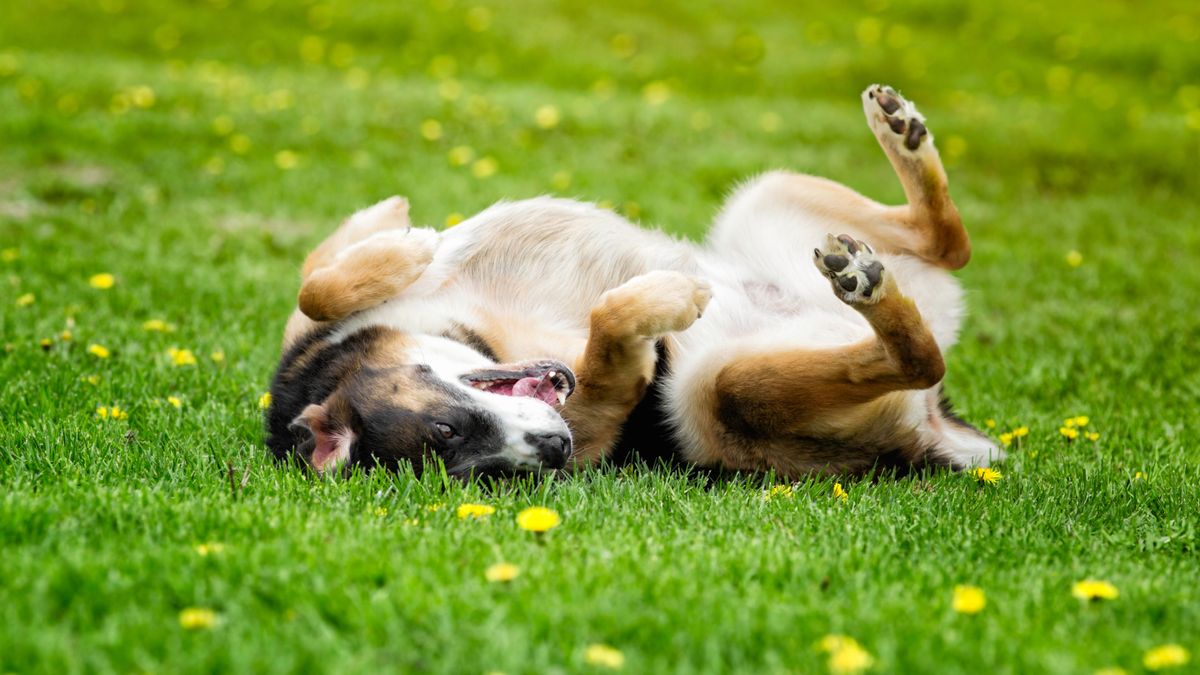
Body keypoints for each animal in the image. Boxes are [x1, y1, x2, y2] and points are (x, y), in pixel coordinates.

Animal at [267, 86, 998, 475]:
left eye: (445, 430)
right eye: (486, 475)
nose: (554, 447)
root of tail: (935, 434)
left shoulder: (311, 316)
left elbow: (316, 280)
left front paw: (400, 237)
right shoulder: (597, 417)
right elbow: (610, 331)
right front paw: (659, 302)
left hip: (764, 194)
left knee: (949, 243)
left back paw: (900, 134)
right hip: (717, 395)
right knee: (917, 351)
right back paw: (869, 289)